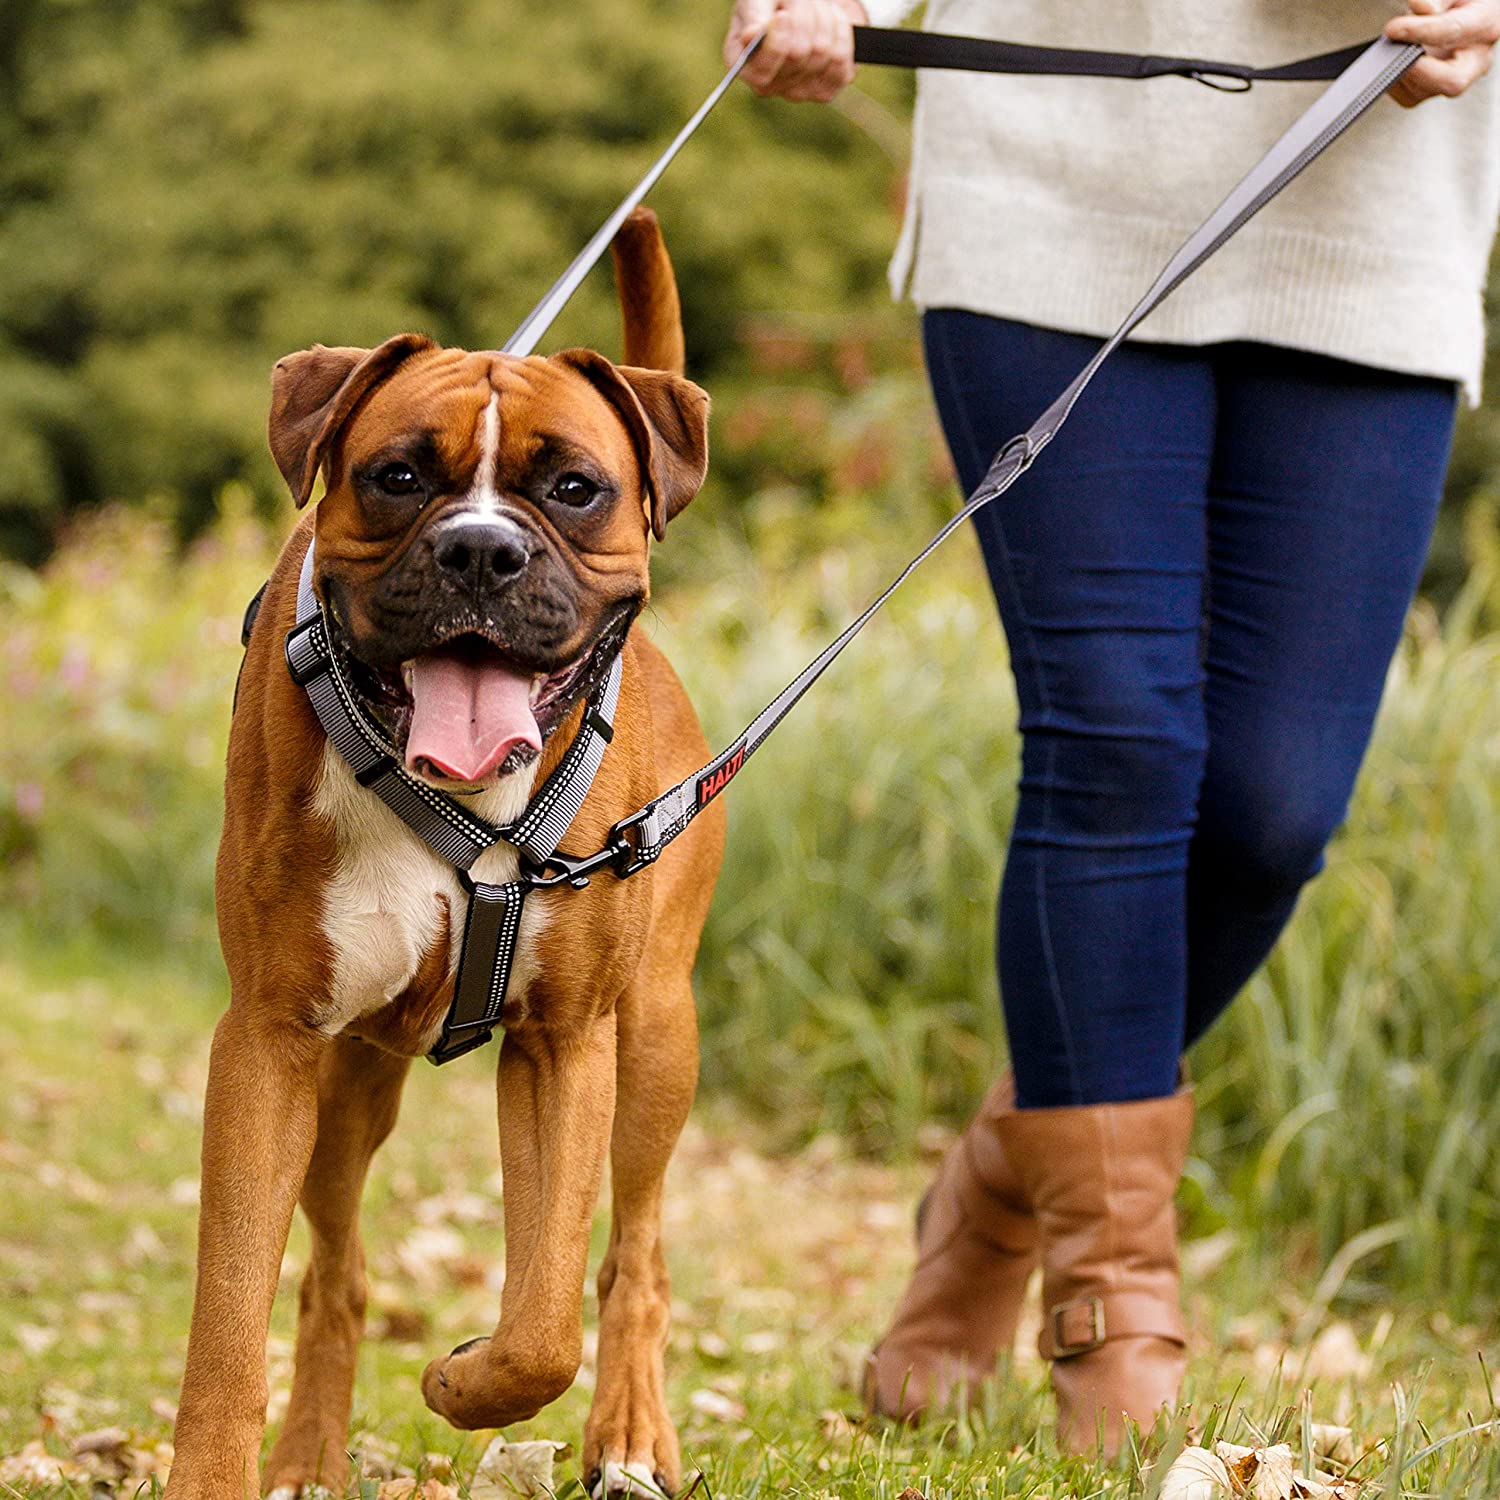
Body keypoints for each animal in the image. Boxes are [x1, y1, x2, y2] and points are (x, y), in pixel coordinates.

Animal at [167, 208, 723, 1500]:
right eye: (399, 476)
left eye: (574, 488)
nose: (479, 552)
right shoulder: (270, 1045)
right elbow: (230, 1323)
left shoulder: (569, 1047)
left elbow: (541, 1323)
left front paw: (464, 1384)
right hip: (347, 1084)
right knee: (334, 1272)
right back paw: (309, 1454)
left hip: (655, 1044)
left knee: (633, 1254)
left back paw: (629, 1427)